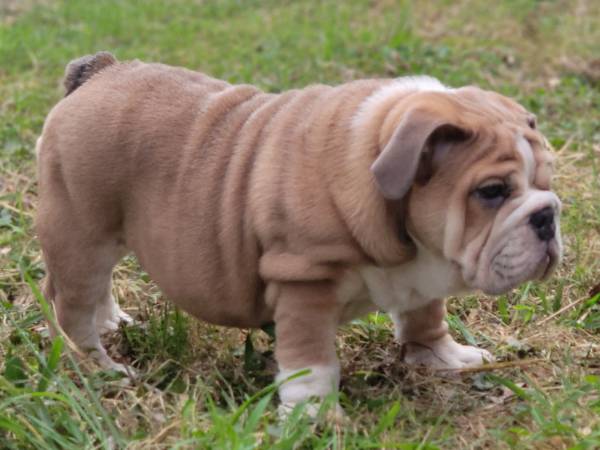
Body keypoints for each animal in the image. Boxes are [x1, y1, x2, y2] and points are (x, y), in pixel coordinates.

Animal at [36, 52, 564, 412]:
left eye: (547, 182)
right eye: (492, 192)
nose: (547, 215)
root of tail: (101, 71)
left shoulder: (421, 276)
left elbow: (424, 315)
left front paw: (443, 357)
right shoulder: (304, 280)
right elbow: (313, 361)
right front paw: (314, 415)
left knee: (97, 286)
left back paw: (112, 321)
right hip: (80, 234)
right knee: (71, 306)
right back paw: (99, 366)